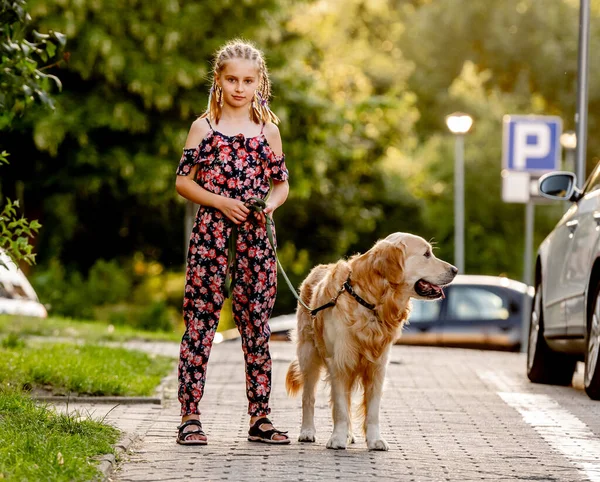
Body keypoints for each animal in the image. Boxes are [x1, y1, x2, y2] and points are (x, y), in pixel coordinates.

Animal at [284, 233, 458, 452]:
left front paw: (375, 440)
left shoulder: (377, 366)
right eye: (426, 254)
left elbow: (372, 410)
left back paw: (349, 435)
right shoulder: (339, 362)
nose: (456, 270)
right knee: (309, 397)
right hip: (309, 355)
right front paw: (337, 439)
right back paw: (307, 431)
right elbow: (340, 407)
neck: (370, 302)